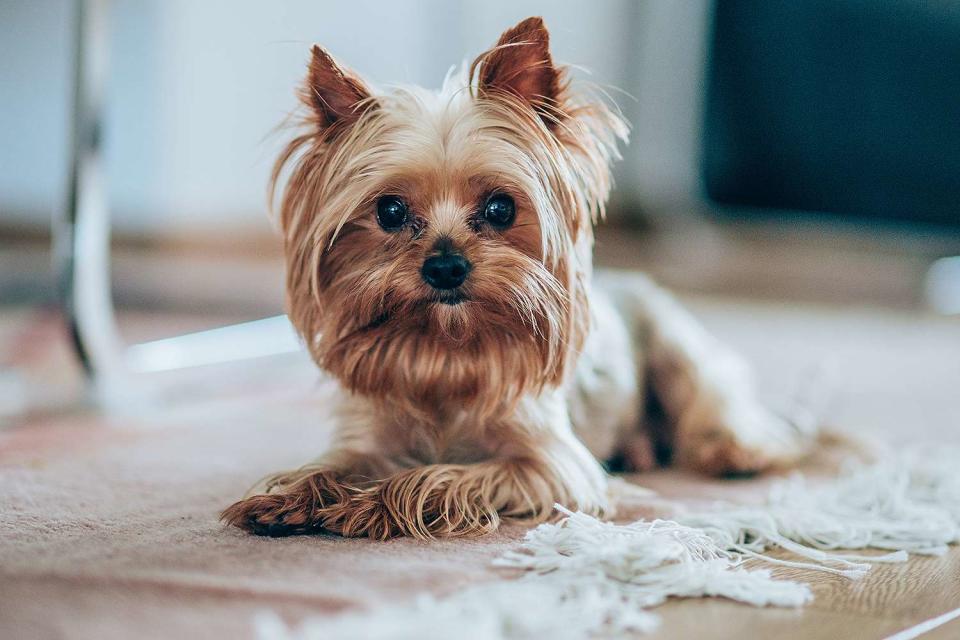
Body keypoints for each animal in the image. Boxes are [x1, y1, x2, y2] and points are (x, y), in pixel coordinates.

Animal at [223, 16, 808, 540]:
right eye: (389, 211)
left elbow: (439, 478)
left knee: (720, 406)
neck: (446, 353)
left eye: (501, 208)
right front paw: (289, 496)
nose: (445, 266)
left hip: (677, 349)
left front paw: (372, 505)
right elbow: (330, 466)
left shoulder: (549, 468)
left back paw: (733, 451)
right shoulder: (367, 437)